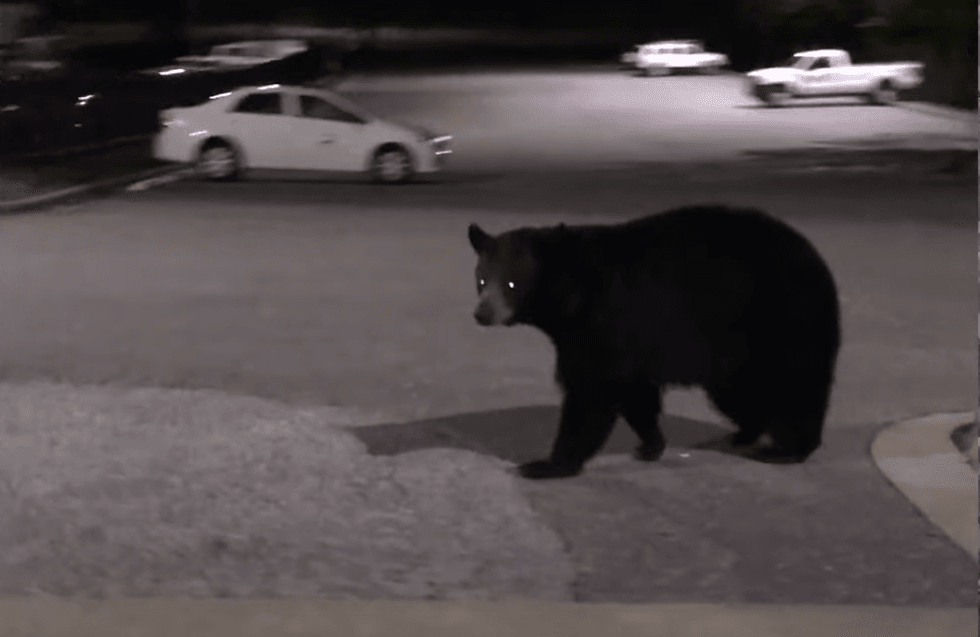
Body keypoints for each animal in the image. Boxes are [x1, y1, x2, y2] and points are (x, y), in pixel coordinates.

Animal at [467, 204, 841, 480]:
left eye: (512, 283)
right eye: (481, 279)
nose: (482, 313)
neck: (572, 294)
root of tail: (818, 263)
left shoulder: (603, 320)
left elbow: (590, 393)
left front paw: (547, 464)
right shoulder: (629, 339)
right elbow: (635, 393)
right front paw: (651, 444)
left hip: (782, 321)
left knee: (795, 386)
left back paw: (788, 449)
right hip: (737, 353)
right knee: (740, 395)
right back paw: (738, 436)